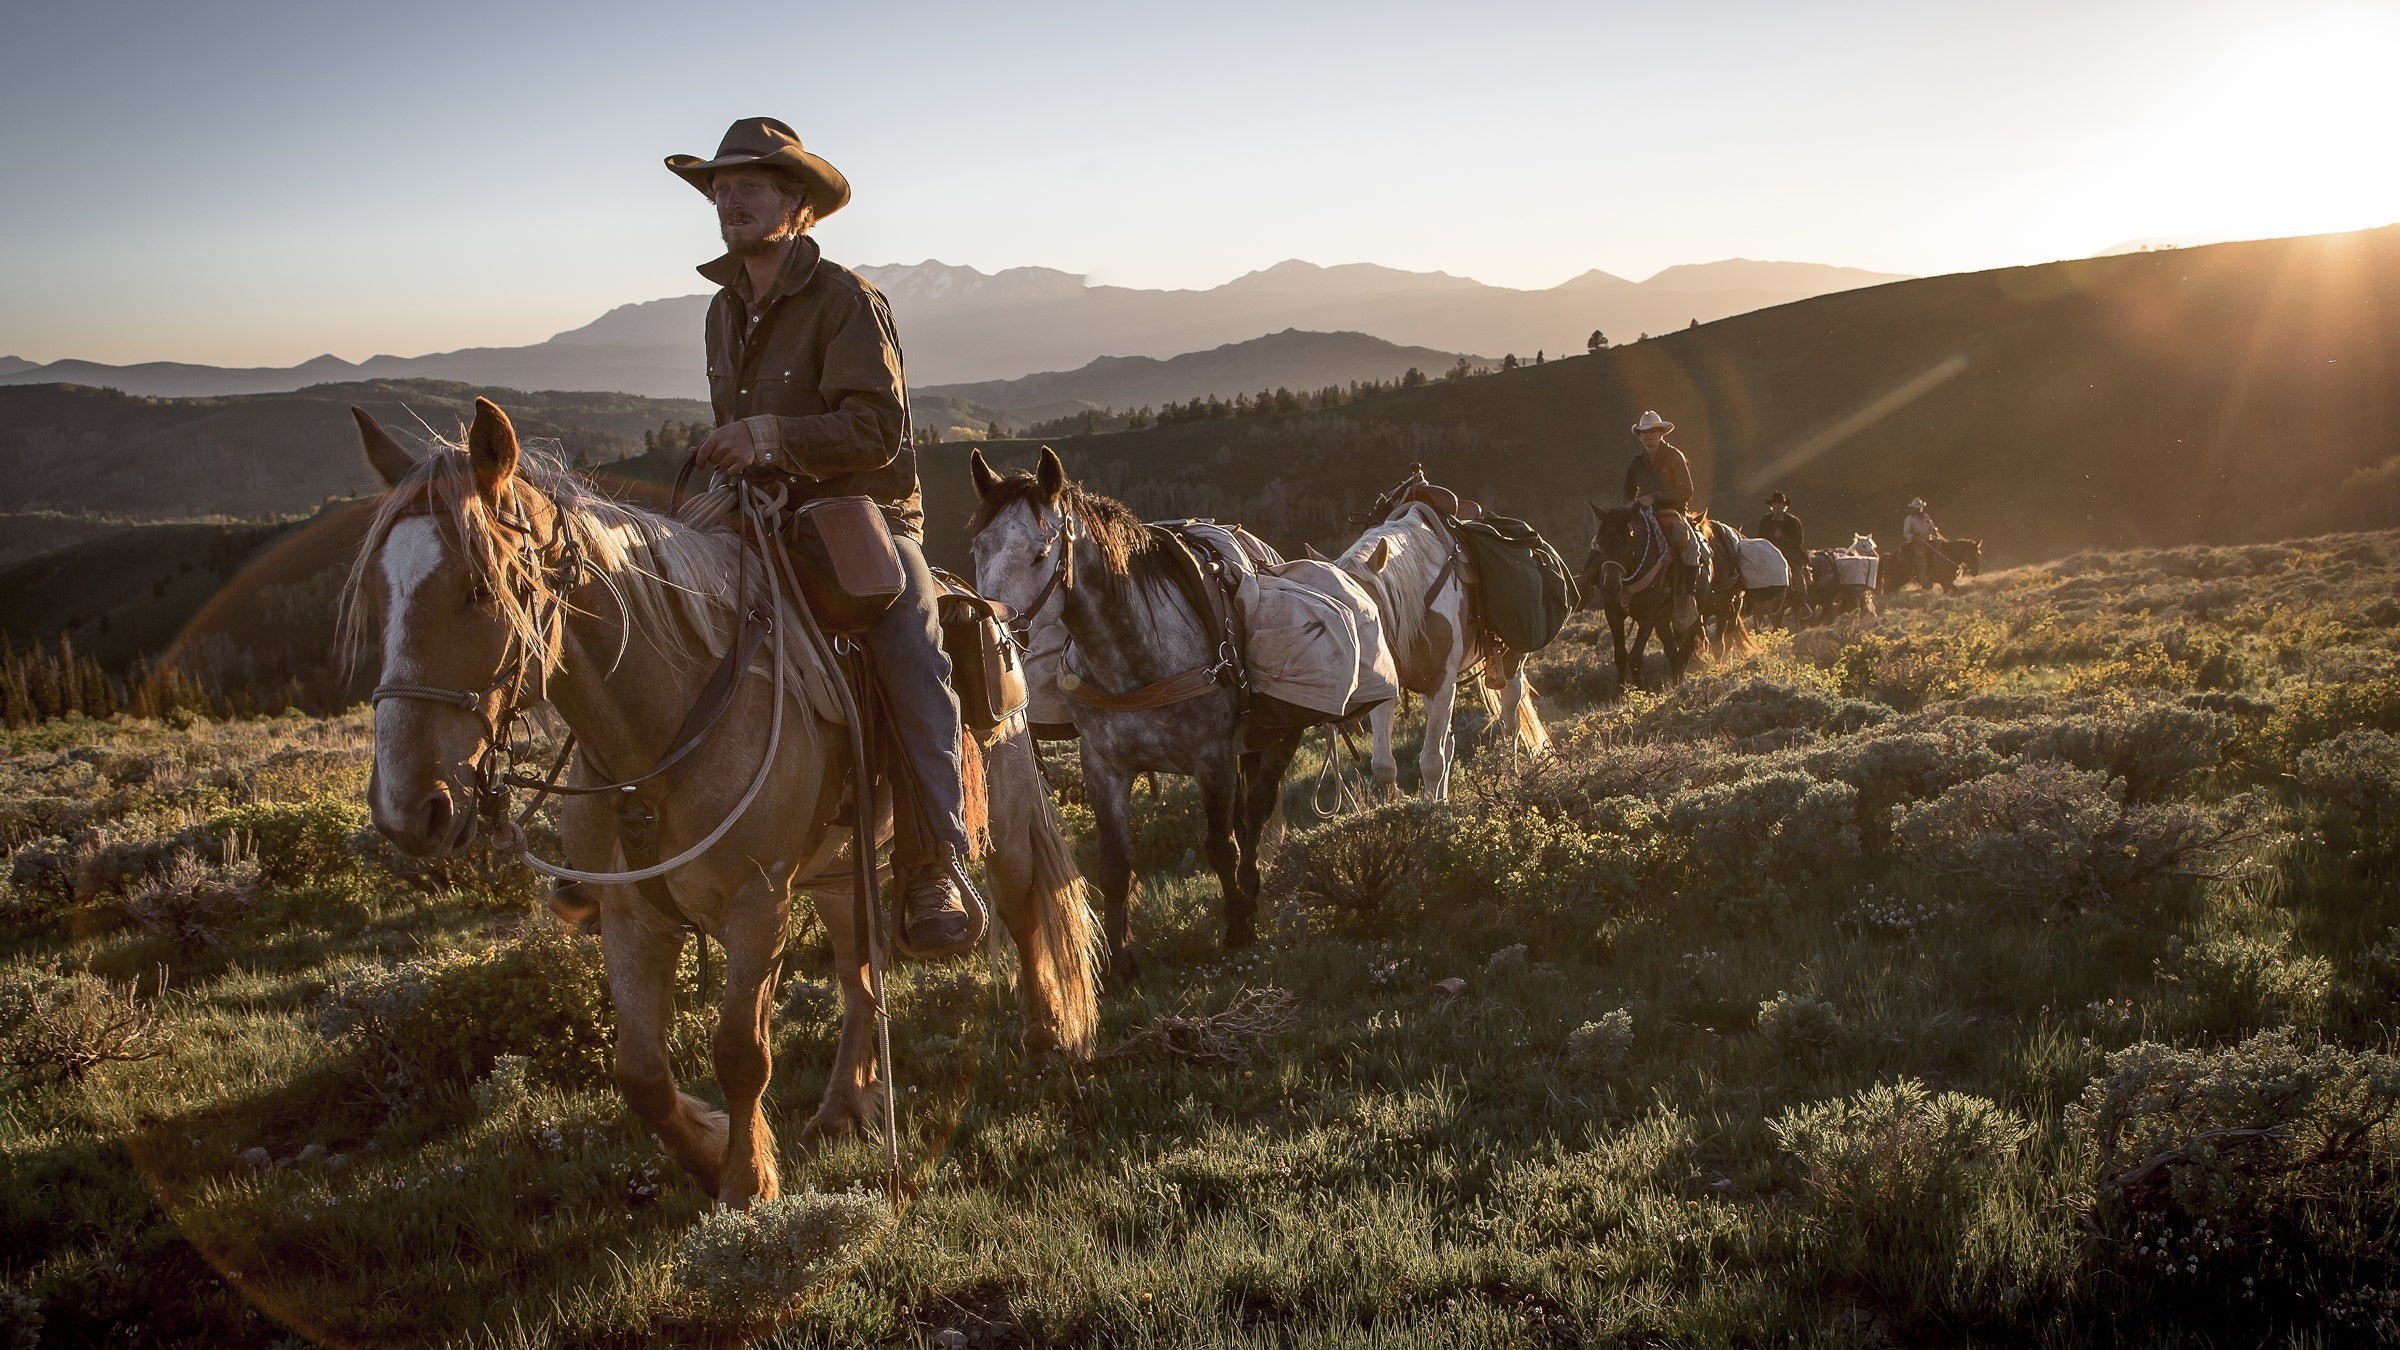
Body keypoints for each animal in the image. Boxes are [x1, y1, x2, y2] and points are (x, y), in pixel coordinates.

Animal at [348, 401, 1099, 1210]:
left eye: (481, 591)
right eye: (378, 598)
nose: (405, 810)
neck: (663, 729)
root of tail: (991, 612)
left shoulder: (757, 902)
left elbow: (741, 1050)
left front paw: (747, 1184)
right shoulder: (631, 913)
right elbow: (640, 1072)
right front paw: (709, 1151)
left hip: (1004, 814)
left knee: (1022, 906)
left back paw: (1045, 1037)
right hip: (839, 870)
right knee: (859, 976)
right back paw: (844, 1104)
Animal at [964, 446, 1305, 984]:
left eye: (1040, 553)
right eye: (979, 546)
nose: (988, 631)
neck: (1134, 657)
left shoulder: (1212, 760)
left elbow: (1220, 845)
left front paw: (1236, 928)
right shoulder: (1105, 768)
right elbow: (1115, 865)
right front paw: (1121, 964)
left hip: (1276, 741)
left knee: (1255, 814)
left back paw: (1249, 894)